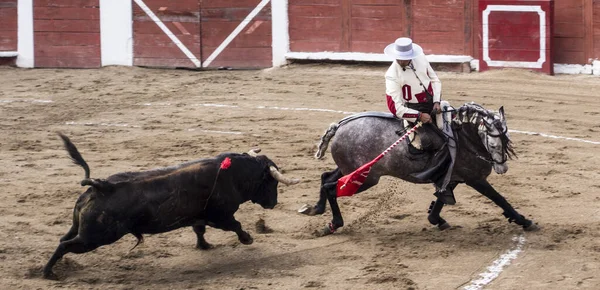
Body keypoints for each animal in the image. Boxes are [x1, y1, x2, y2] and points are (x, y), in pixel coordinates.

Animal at [45, 134, 300, 278]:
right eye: (272, 183)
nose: (274, 203)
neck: (234, 174)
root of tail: (100, 186)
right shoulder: (221, 216)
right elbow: (235, 225)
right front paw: (247, 239)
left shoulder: (199, 216)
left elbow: (199, 230)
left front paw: (204, 246)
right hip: (96, 237)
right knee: (66, 245)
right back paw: (48, 273)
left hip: (81, 229)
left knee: (62, 240)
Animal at [300, 103, 540, 234]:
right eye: (493, 143)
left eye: (507, 140)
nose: (502, 168)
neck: (463, 138)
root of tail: (340, 126)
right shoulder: (475, 179)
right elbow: (500, 199)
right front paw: (525, 221)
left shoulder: (451, 178)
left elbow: (441, 200)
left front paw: (438, 220)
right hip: (366, 179)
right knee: (332, 187)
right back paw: (333, 224)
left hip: (349, 170)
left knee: (326, 178)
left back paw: (315, 209)